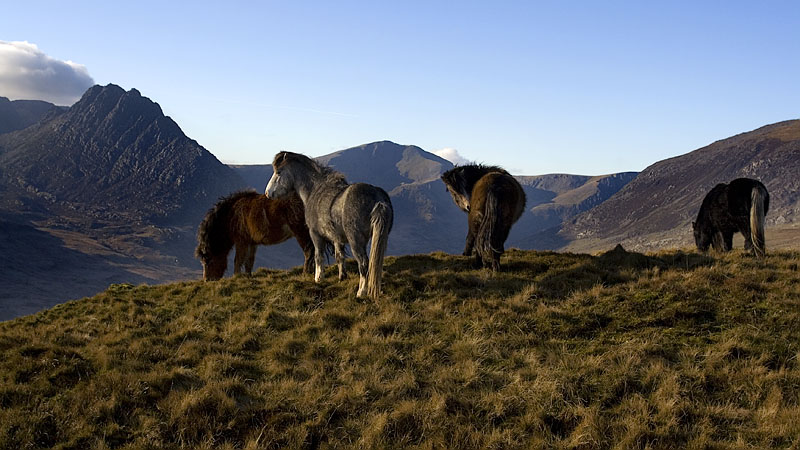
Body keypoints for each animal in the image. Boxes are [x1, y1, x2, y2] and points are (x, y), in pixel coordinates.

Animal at [265, 152, 393, 298]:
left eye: (278, 172)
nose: (268, 193)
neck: (315, 190)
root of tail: (378, 199)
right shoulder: (337, 237)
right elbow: (339, 256)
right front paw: (342, 277)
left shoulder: (315, 234)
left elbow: (318, 255)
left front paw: (318, 278)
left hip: (356, 241)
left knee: (364, 264)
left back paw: (361, 291)